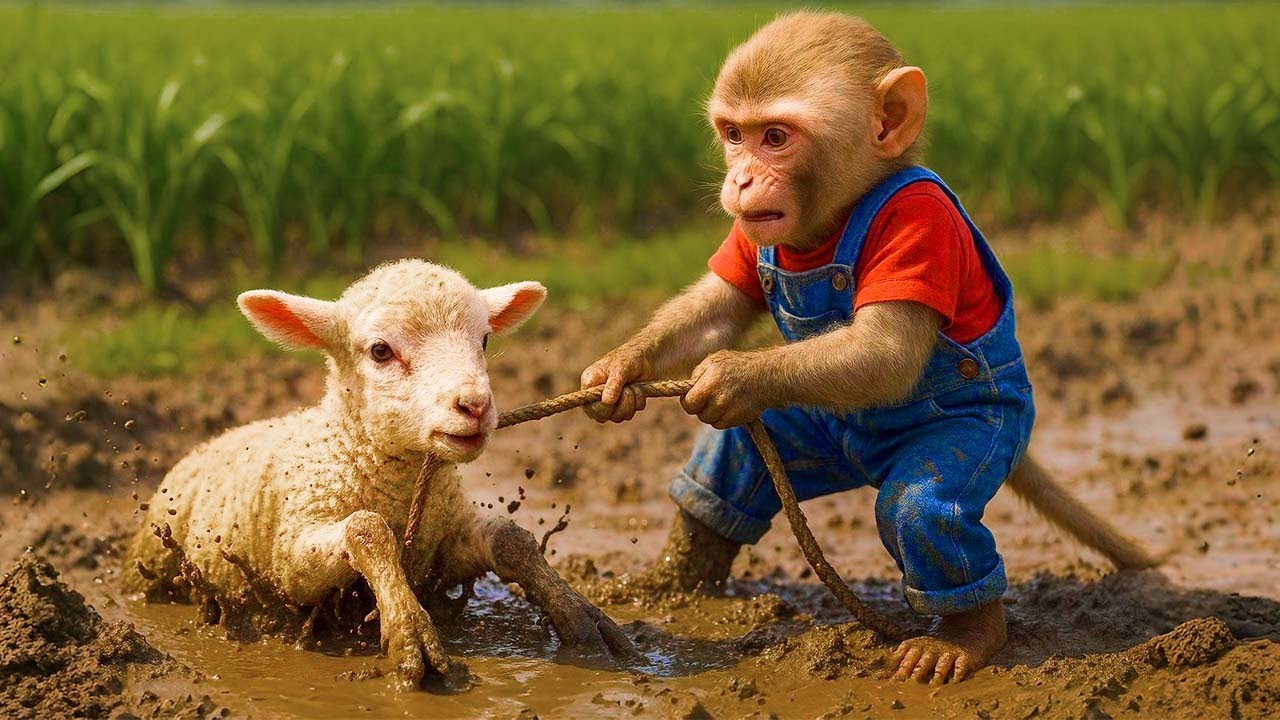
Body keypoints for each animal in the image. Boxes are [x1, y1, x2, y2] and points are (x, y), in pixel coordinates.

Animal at [124, 259, 636, 690]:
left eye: (485, 340)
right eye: (380, 351)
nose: (474, 406)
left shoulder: (439, 547)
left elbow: (512, 539)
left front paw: (583, 617)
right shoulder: (288, 563)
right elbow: (367, 528)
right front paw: (411, 634)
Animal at [580, 11, 1154, 686]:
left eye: (775, 136)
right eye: (734, 135)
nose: (740, 178)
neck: (831, 224)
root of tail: (865, 457)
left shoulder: (922, 223)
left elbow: (887, 352)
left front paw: (727, 377)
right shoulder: (752, 238)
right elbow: (720, 305)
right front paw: (618, 371)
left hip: (989, 434)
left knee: (922, 509)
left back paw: (964, 636)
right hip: (810, 431)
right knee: (730, 463)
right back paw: (671, 583)